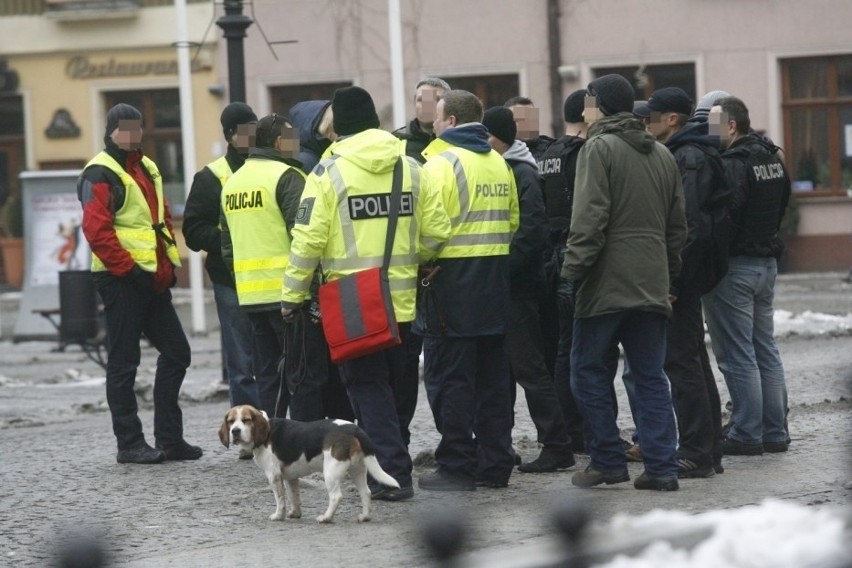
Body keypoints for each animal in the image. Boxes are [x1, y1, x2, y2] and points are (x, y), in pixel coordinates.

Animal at [223, 404, 402, 524]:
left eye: (246, 420)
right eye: (231, 421)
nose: (235, 431)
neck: (266, 431)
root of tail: (354, 429)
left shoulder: (274, 476)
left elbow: (280, 499)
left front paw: (278, 516)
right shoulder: (290, 477)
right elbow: (294, 496)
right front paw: (295, 514)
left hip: (331, 472)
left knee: (336, 496)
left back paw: (326, 518)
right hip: (357, 469)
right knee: (366, 493)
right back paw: (365, 517)